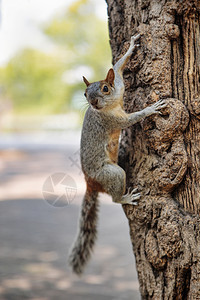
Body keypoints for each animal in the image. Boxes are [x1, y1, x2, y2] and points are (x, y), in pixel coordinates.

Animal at [68, 34, 166, 276]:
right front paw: (151, 109)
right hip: (112, 174)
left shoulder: (120, 86)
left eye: (105, 88)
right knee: (114, 198)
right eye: (85, 93)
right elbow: (134, 118)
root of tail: (90, 182)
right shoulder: (114, 121)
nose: (93, 102)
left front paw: (131, 47)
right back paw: (126, 197)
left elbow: (118, 67)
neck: (110, 105)